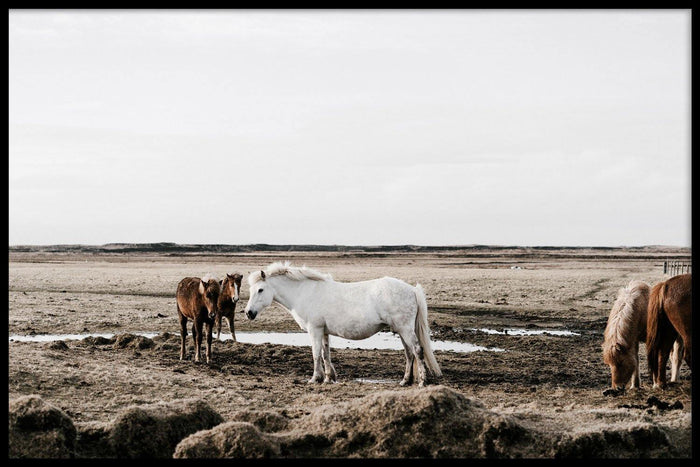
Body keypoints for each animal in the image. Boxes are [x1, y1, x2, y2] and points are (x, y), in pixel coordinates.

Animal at [243, 261, 442, 387]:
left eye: (260, 290)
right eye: (252, 290)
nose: (248, 313)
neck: (304, 292)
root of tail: (412, 289)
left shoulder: (314, 330)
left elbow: (316, 354)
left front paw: (315, 379)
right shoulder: (323, 332)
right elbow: (326, 354)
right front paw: (328, 378)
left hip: (405, 329)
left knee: (417, 351)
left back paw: (422, 382)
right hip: (401, 331)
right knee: (409, 354)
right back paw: (405, 381)